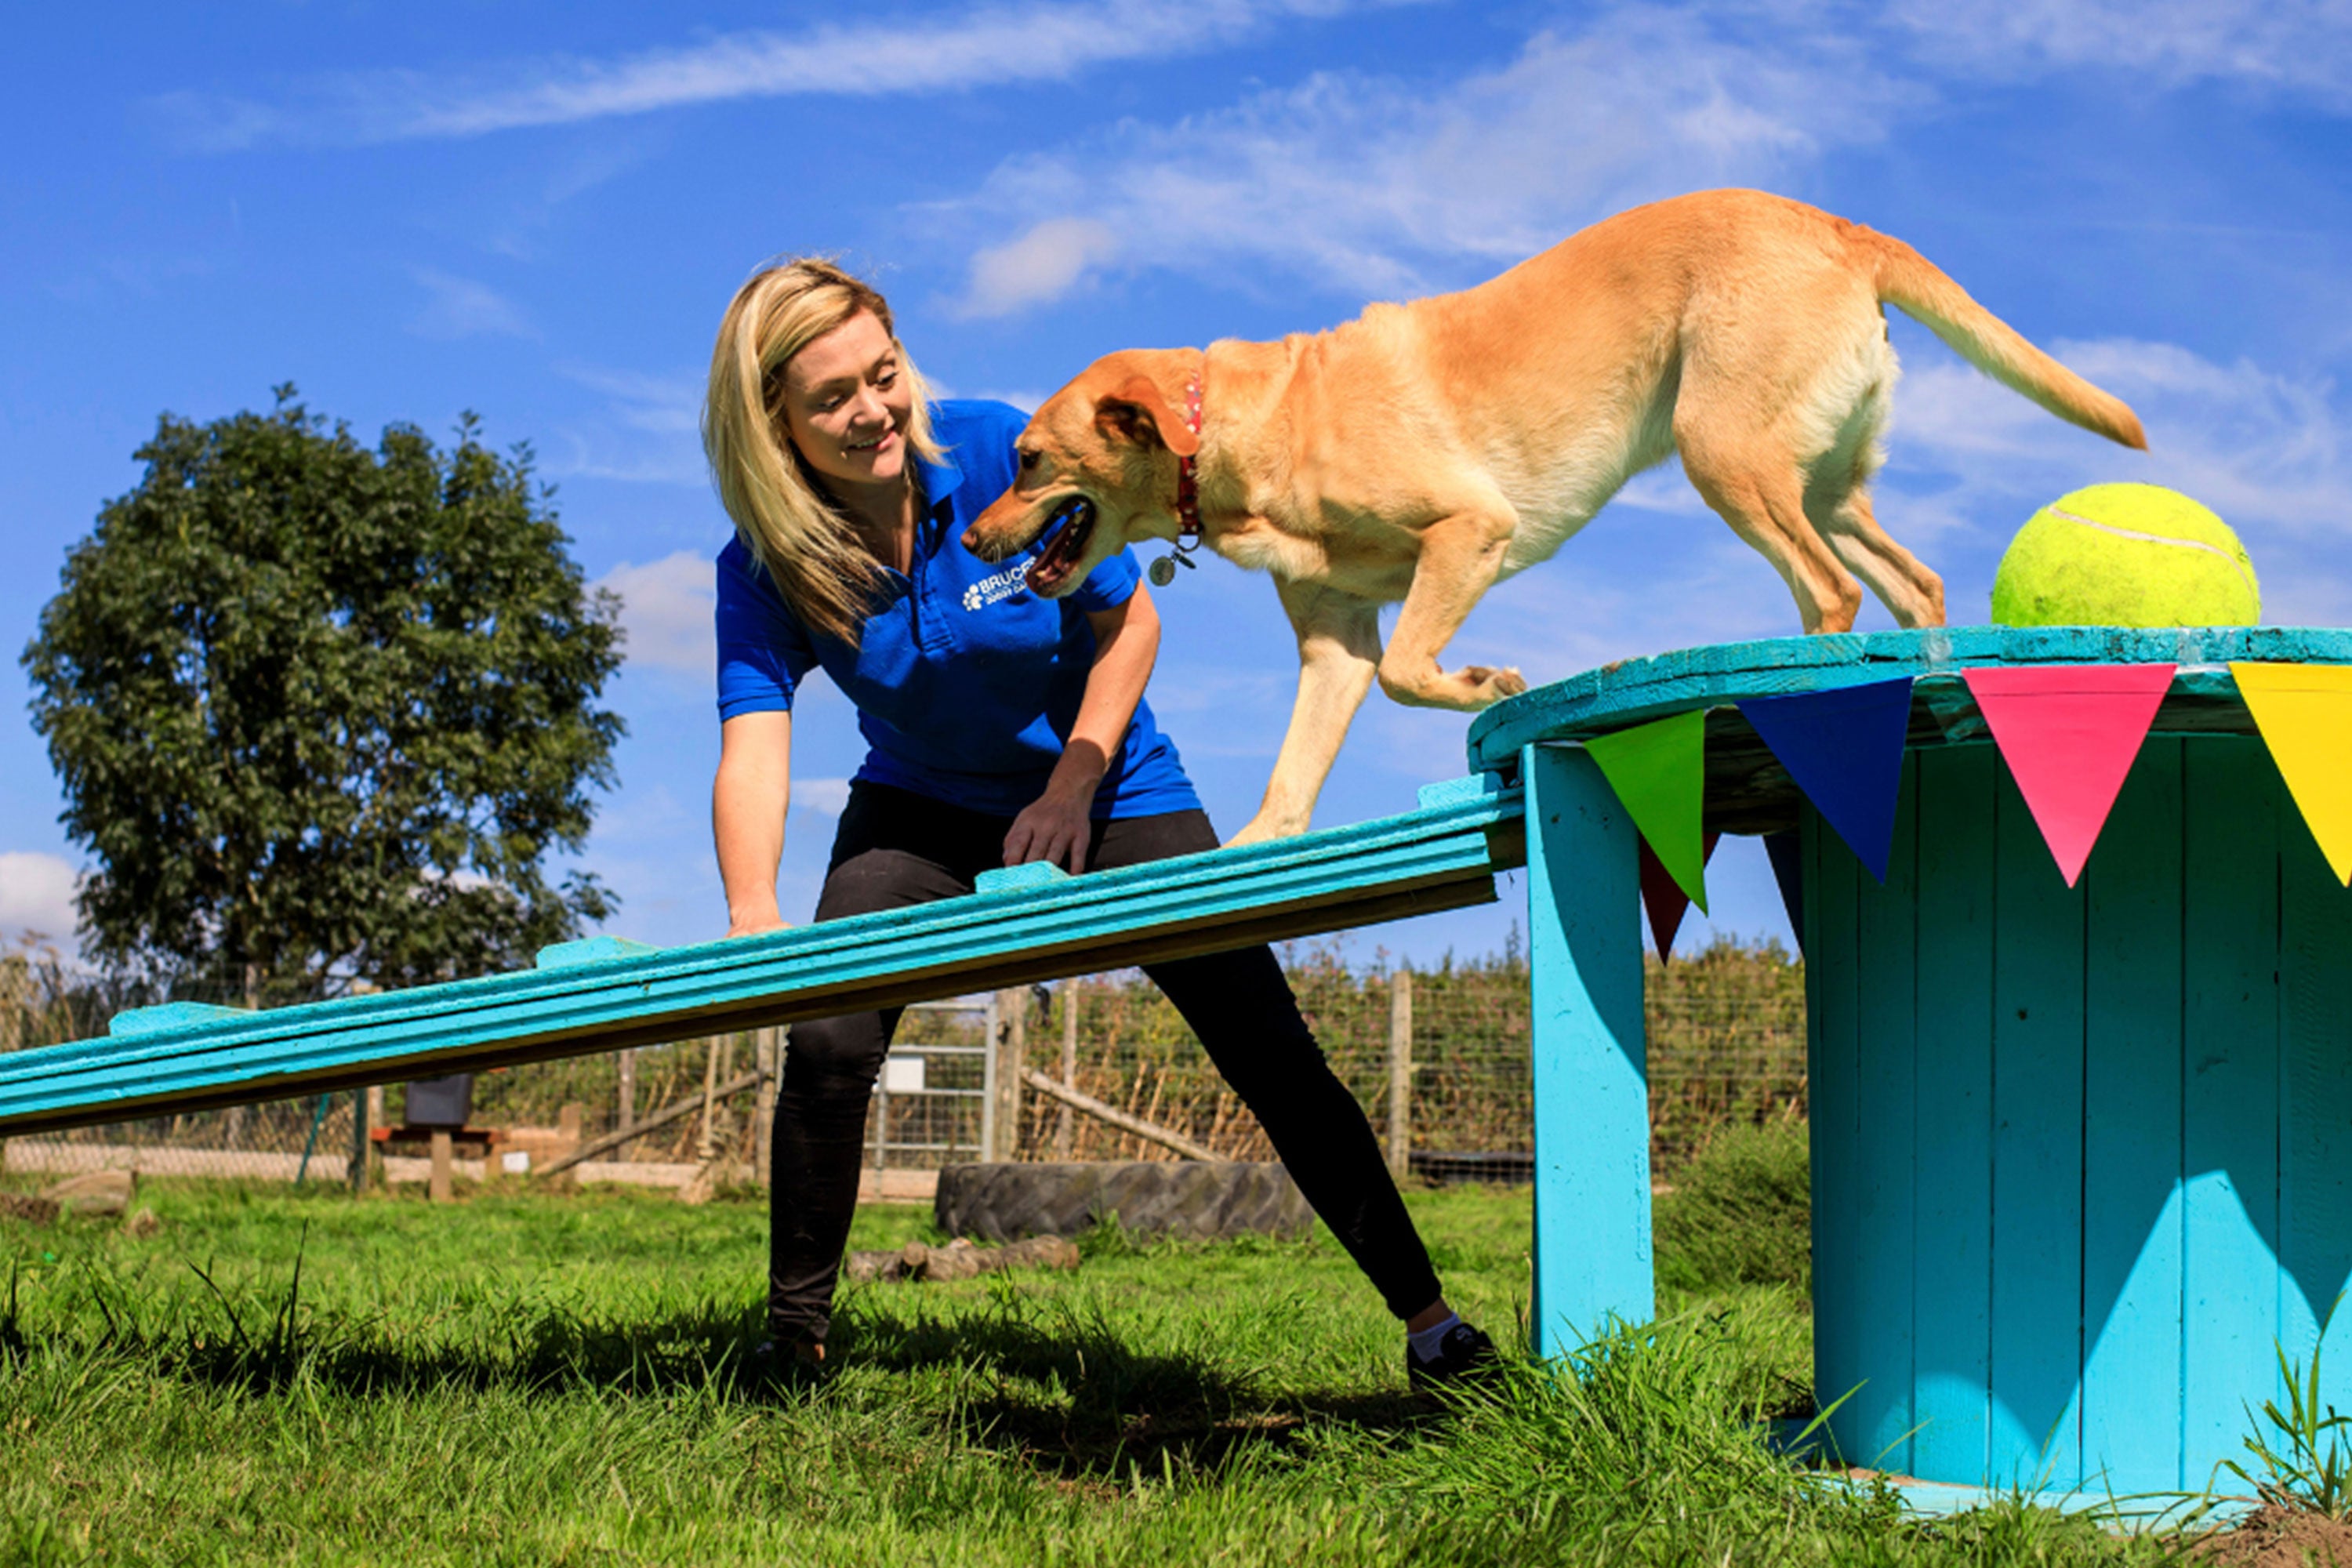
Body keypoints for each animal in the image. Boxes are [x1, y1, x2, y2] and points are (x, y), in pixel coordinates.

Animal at [960, 187, 2154, 846]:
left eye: (1025, 462)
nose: (968, 538)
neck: (1243, 425)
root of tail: (1838, 226)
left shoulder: (1465, 534)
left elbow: (1413, 671)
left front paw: (1487, 683)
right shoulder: (1333, 640)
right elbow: (1297, 769)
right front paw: (1254, 845)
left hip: (1725, 452)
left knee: (1830, 588)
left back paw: (1798, 686)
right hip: (1819, 479)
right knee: (1911, 581)